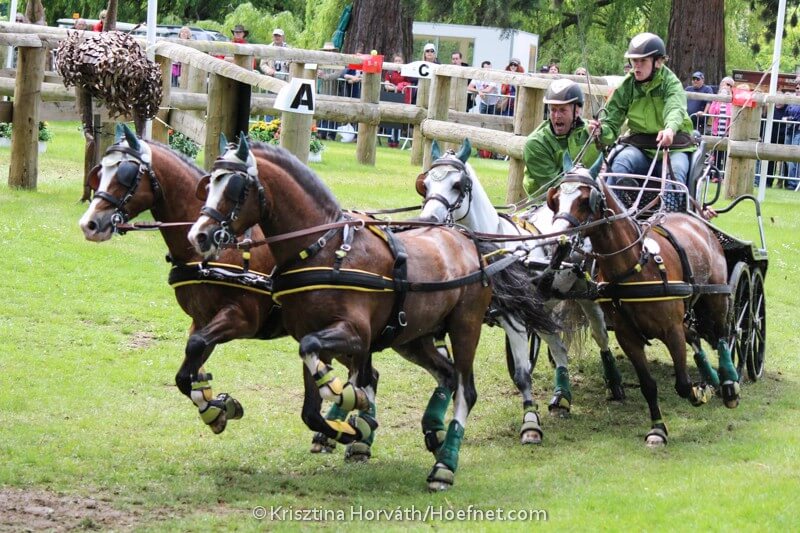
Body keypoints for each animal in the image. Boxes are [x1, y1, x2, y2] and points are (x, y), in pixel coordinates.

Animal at [77, 125, 373, 458]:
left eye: (126, 174)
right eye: (99, 173)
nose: (90, 224)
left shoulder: (239, 319)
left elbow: (194, 349)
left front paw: (217, 406)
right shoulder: (202, 320)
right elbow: (187, 369)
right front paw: (216, 407)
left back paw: (356, 434)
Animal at [187, 136, 556, 490]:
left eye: (234, 187)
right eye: (208, 184)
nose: (199, 235)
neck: (325, 250)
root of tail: (469, 239)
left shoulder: (355, 334)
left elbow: (317, 353)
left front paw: (346, 398)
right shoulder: (318, 334)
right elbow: (311, 407)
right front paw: (353, 427)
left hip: (465, 327)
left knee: (466, 390)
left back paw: (445, 465)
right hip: (413, 338)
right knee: (447, 374)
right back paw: (433, 430)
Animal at [415, 140, 624, 439]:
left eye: (457, 185)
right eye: (425, 184)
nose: (428, 220)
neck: (495, 250)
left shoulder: (513, 319)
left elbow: (522, 375)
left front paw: (530, 423)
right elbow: (447, 368)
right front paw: (435, 423)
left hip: (585, 295)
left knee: (601, 337)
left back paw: (614, 383)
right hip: (540, 308)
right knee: (559, 347)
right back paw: (562, 396)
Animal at [546, 164, 739, 446]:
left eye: (584, 200)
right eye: (556, 198)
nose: (557, 239)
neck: (634, 265)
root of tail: (695, 220)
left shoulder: (671, 330)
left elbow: (683, 384)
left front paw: (698, 392)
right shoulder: (628, 336)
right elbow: (648, 385)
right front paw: (658, 429)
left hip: (716, 298)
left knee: (722, 335)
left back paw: (729, 385)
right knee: (695, 334)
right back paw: (712, 378)